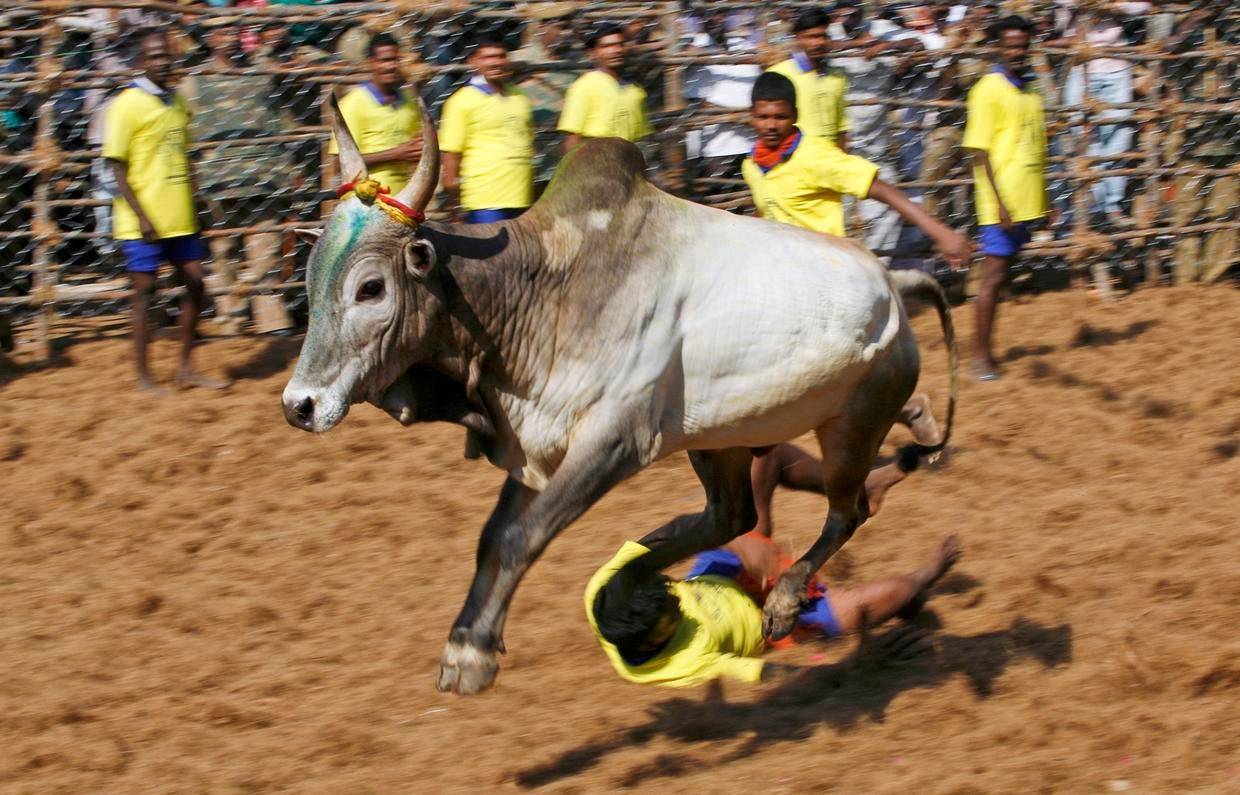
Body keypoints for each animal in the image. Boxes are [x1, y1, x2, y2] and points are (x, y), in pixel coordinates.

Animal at [282, 96, 957, 695]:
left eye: (371, 287)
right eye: (310, 281)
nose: (300, 405)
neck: (538, 291)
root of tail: (892, 282)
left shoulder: (612, 443)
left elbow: (519, 537)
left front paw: (473, 655)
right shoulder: (535, 447)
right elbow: (492, 540)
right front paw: (467, 645)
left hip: (851, 425)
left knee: (847, 509)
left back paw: (785, 599)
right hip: (720, 438)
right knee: (732, 516)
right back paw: (633, 587)